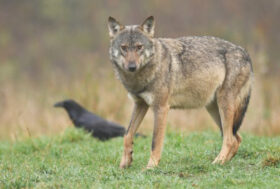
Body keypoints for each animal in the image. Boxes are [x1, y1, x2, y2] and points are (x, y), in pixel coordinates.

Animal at [107, 15, 254, 168]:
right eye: (124, 47)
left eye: (139, 47)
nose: (131, 67)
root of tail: (245, 53)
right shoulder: (140, 104)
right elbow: (127, 134)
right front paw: (124, 164)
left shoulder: (161, 108)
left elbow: (155, 142)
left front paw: (150, 167)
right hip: (215, 110)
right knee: (236, 138)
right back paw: (223, 162)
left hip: (224, 107)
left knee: (229, 139)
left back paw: (217, 162)